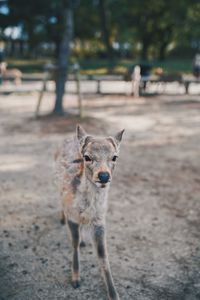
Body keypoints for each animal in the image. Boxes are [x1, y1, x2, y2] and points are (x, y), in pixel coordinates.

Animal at [54, 125, 124, 300]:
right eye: (87, 157)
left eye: (115, 157)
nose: (104, 175)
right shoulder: (72, 215)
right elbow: (74, 243)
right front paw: (75, 280)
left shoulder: (100, 220)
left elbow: (103, 254)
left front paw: (114, 294)